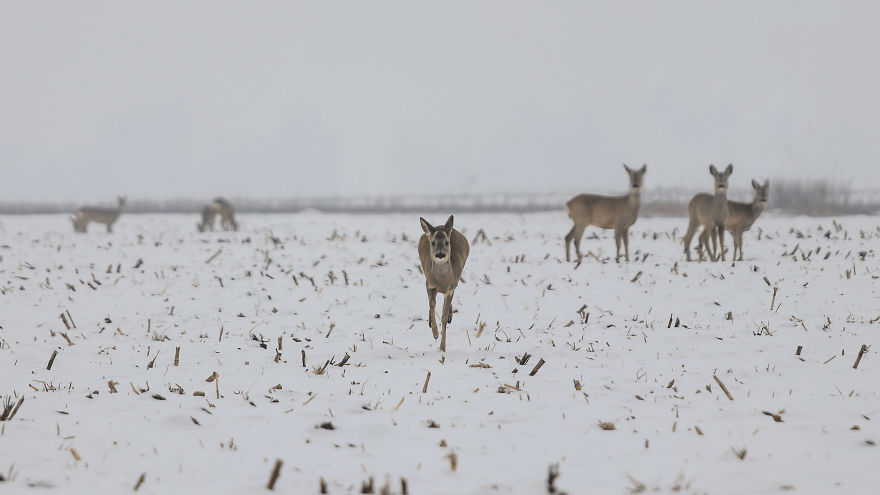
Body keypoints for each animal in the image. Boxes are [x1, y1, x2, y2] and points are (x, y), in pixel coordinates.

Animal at [418, 215, 469, 352]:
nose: (440, 254)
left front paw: (442, 346)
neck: (442, 281)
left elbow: (444, 317)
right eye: (433, 242)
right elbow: (432, 305)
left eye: (447, 242)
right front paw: (435, 333)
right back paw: (430, 322)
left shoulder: (451, 288)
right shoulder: (429, 284)